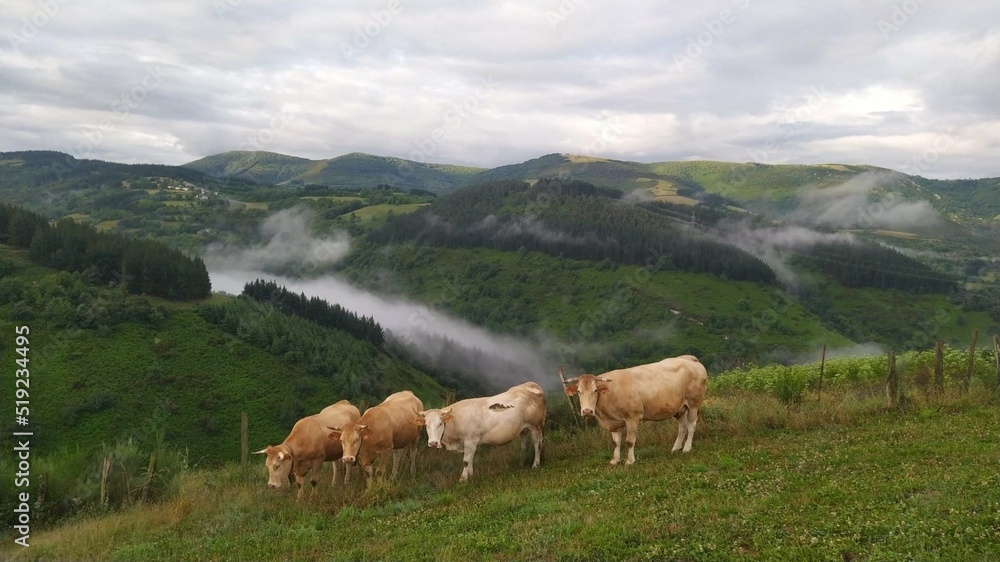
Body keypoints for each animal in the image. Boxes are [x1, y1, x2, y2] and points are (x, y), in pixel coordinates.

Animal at [416, 378, 548, 480]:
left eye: (440, 423)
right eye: (426, 425)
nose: (433, 443)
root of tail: (529, 384)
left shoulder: (470, 440)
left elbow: (466, 460)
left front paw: (463, 479)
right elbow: (470, 460)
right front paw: (471, 476)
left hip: (536, 426)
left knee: (538, 444)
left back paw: (535, 465)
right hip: (524, 428)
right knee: (524, 446)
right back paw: (521, 462)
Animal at [564, 354, 712, 464]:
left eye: (595, 390)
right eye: (578, 391)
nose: (587, 411)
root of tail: (688, 358)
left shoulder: (632, 417)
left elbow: (629, 441)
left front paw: (630, 461)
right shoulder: (615, 422)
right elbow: (616, 442)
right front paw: (615, 460)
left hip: (693, 404)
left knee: (691, 426)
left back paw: (687, 448)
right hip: (679, 408)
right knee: (682, 427)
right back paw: (676, 448)